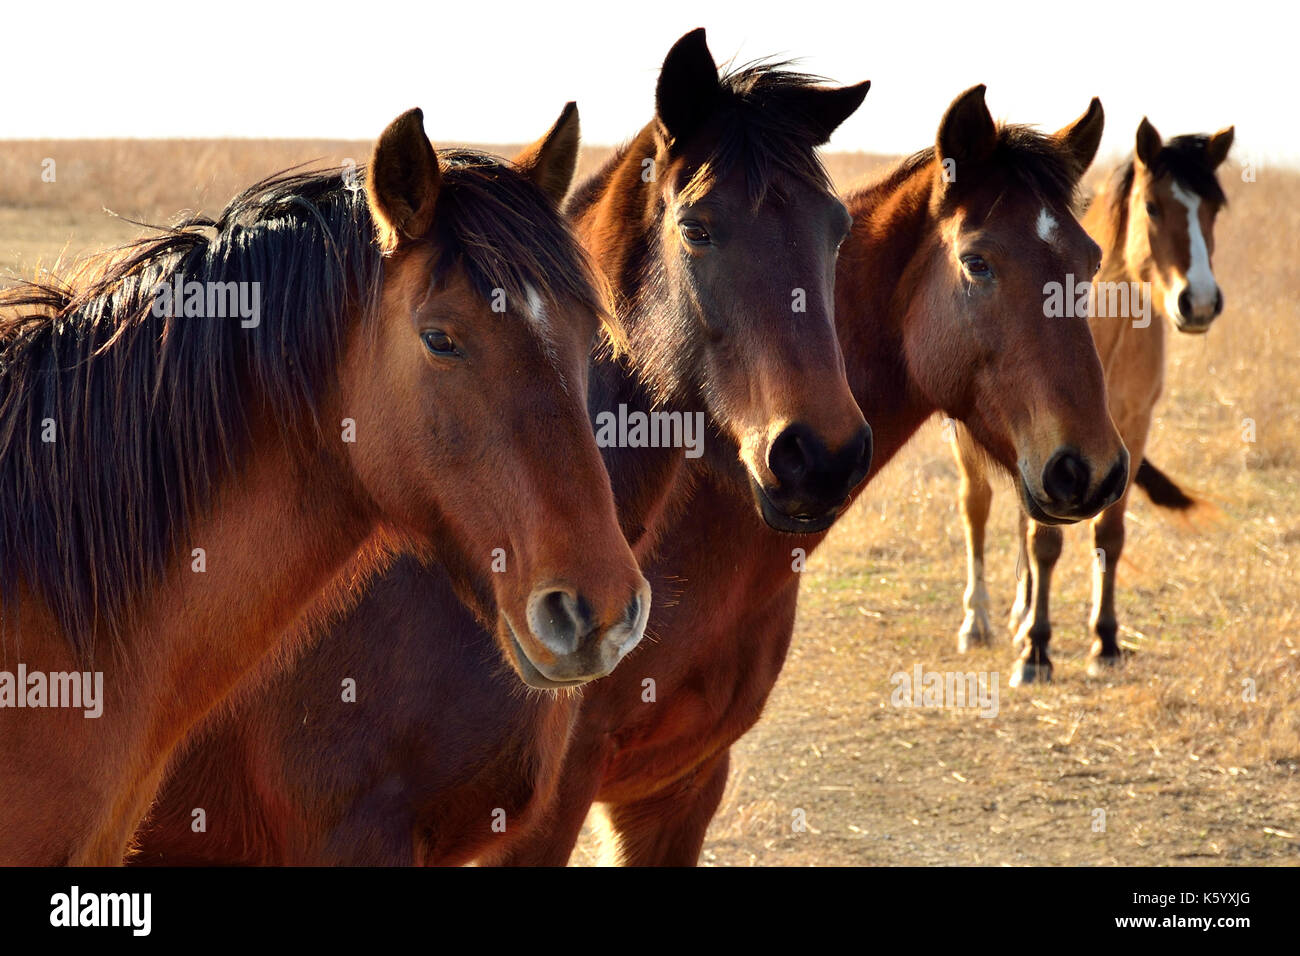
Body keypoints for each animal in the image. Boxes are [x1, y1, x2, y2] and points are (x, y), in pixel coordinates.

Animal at [951, 115, 1232, 686]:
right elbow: (1045, 542)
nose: (1199, 302)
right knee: (977, 508)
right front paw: (1036, 652)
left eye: (1213, 209)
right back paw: (979, 621)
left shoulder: (1128, 430)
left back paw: (1019, 612)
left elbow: (1109, 533)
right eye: (1153, 206)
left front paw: (1104, 641)